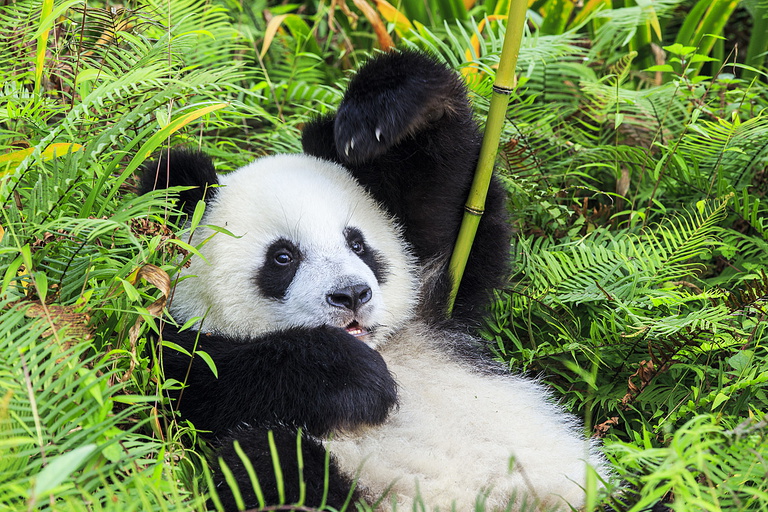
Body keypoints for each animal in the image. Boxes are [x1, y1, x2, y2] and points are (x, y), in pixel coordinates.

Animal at [141, 50, 609, 511]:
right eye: (283, 257)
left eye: (357, 243)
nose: (352, 295)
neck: (385, 349)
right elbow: (180, 376)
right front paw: (350, 376)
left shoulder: (434, 287)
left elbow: (454, 201)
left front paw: (382, 116)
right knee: (268, 460)